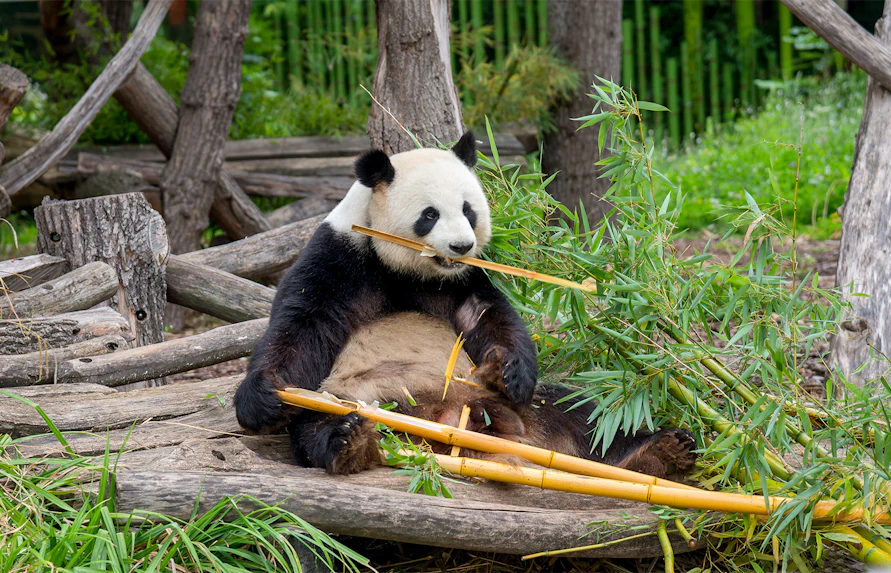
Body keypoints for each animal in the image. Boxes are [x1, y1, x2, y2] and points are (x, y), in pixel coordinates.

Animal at [234, 132, 697, 479]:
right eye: (430, 215)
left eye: (469, 209)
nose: (461, 246)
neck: (408, 268)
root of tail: (457, 422)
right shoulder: (341, 257)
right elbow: (302, 327)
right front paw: (263, 395)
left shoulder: (467, 276)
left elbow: (489, 316)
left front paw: (510, 369)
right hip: (354, 396)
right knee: (317, 423)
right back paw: (349, 442)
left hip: (527, 403)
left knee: (596, 414)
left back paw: (664, 452)